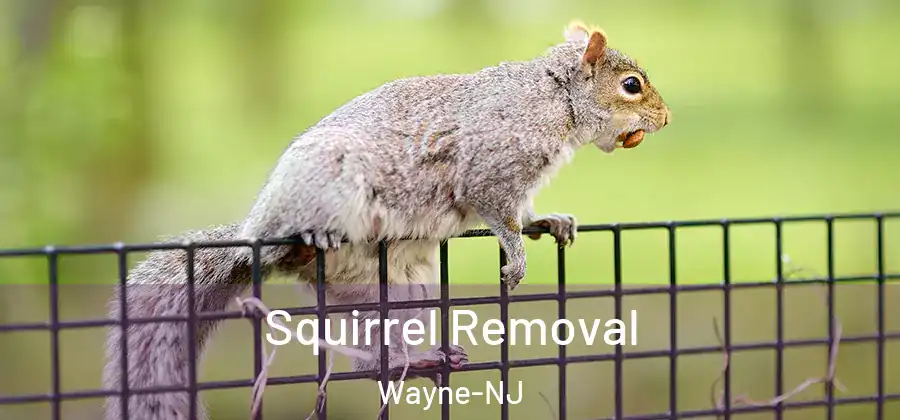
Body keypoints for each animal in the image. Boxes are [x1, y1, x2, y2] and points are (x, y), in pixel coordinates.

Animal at [101, 20, 670, 420]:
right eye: (631, 85)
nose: (665, 120)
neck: (554, 97)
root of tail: (251, 236)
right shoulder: (489, 167)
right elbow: (498, 214)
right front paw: (516, 257)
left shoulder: (518, 183)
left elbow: (524, 212)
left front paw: (549, 222)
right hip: (325, 188)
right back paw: (307, 240)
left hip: (399, 291)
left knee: (372, 360)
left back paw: (418, 360)